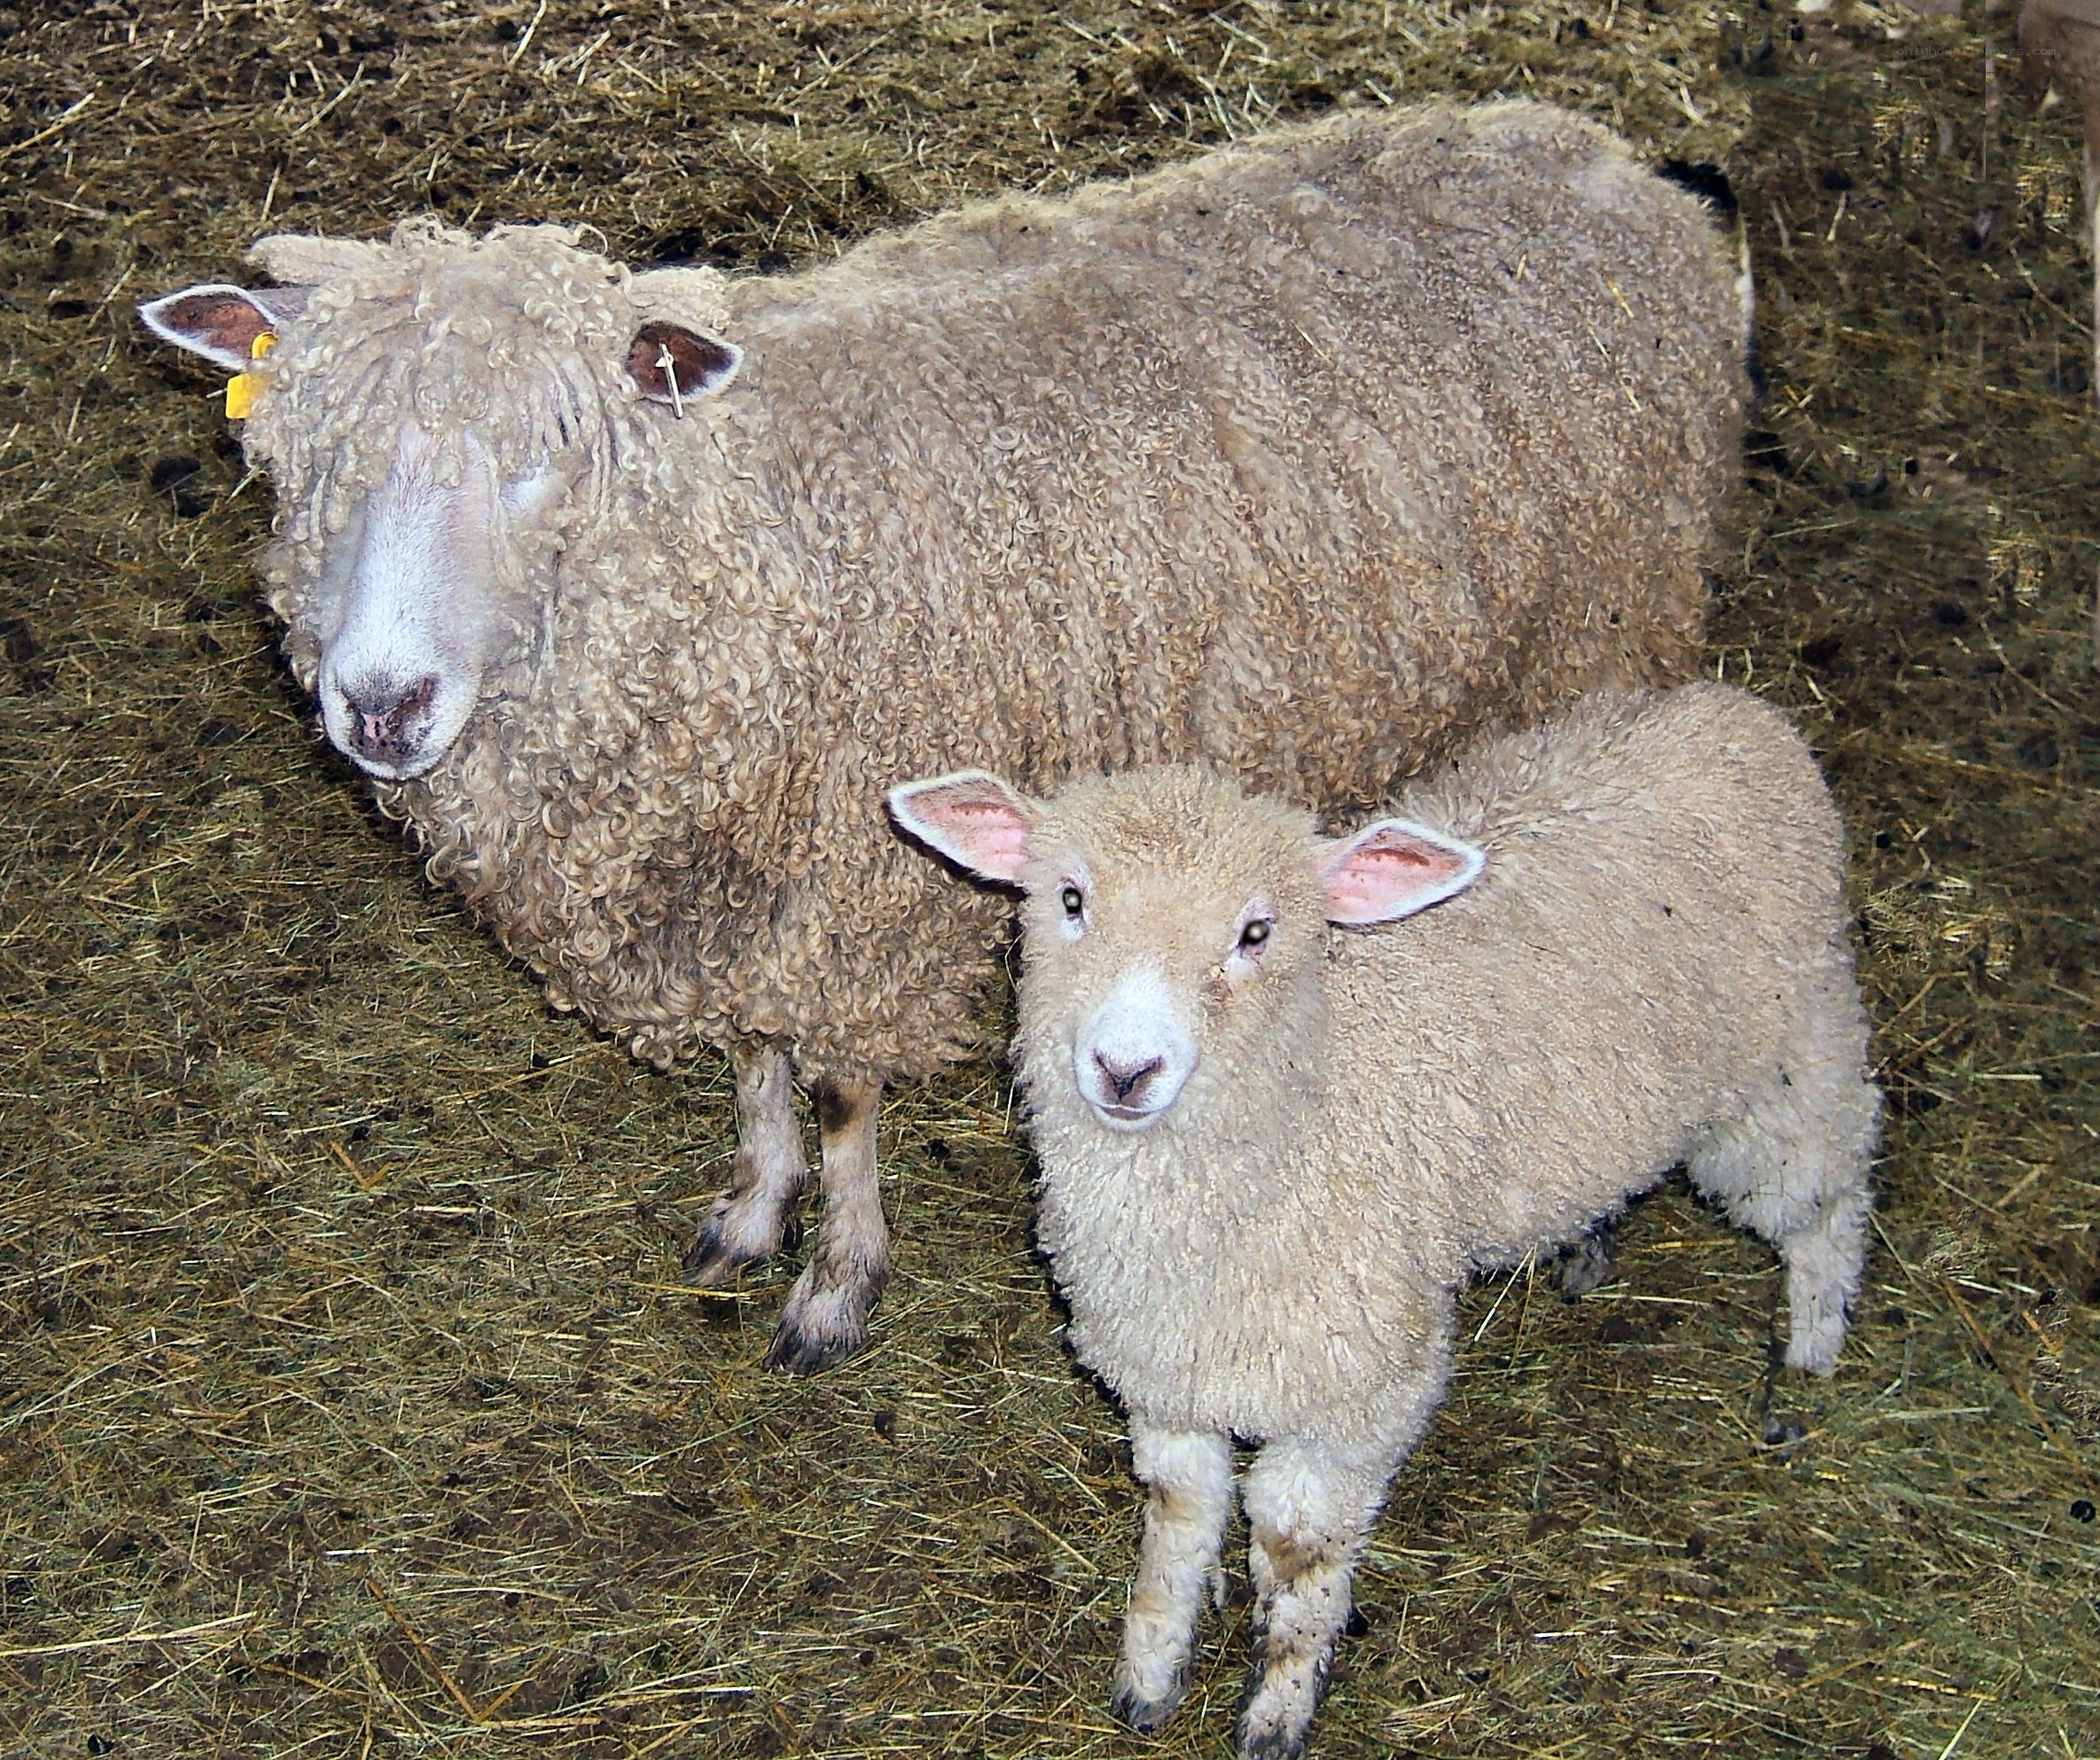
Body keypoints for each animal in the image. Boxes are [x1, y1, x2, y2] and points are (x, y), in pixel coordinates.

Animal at [136, 99, 1748, 1373]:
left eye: (553, 456)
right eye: (299, 459)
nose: (380, 702)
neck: (759, 544)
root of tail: (1622, 170)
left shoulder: (872, 888)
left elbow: (845, 1094)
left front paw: (836, 1283)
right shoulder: (759, 881)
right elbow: (755, 1058)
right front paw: (750, 1207)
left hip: (1598, 637)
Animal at [888, 682, 1878, 1760]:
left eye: (1256, 932)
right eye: (1070, 900)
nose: (1124, 1068)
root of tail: (1744, 714)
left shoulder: (1358, 1393)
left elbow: (1294, 1545)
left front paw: (1277, 1708)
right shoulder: (1167, 1371)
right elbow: (1178, 1517)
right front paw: (1150, 1674)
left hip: (1788, 1065)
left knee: (1828, 1198)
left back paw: (1812, 1351)